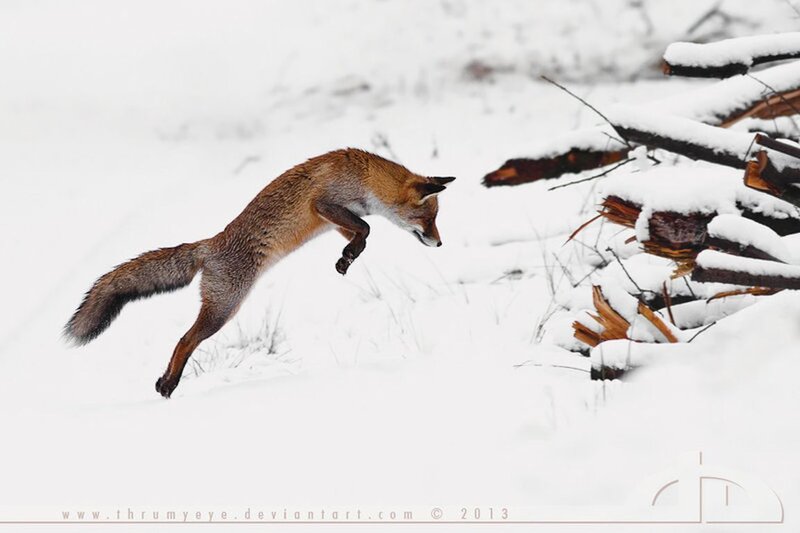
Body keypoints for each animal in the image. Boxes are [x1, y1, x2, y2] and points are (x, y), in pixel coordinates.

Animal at [64, 148, 454, 398]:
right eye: (429, 218)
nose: (440, 243)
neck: (367, 177)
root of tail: (209, 245)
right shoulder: (324, 203)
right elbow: (367, 228)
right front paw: (349, 256)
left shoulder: (335, 219)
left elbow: (360, 235)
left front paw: (347, 259)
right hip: (224, 309)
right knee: (184, 340)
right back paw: (168, 384)